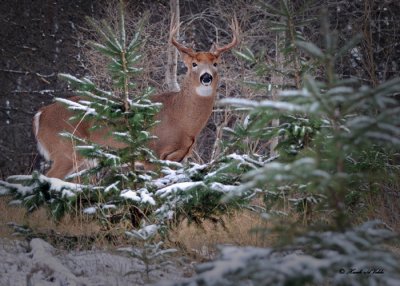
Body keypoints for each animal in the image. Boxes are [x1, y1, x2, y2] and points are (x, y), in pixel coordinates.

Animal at [32, 17, 239, 179]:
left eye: (215, 63)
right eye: (194, 64)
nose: (206, 77)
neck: (181, 120)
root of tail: (41, 114)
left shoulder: (180, 157)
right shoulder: (153, 152)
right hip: (65, 149)